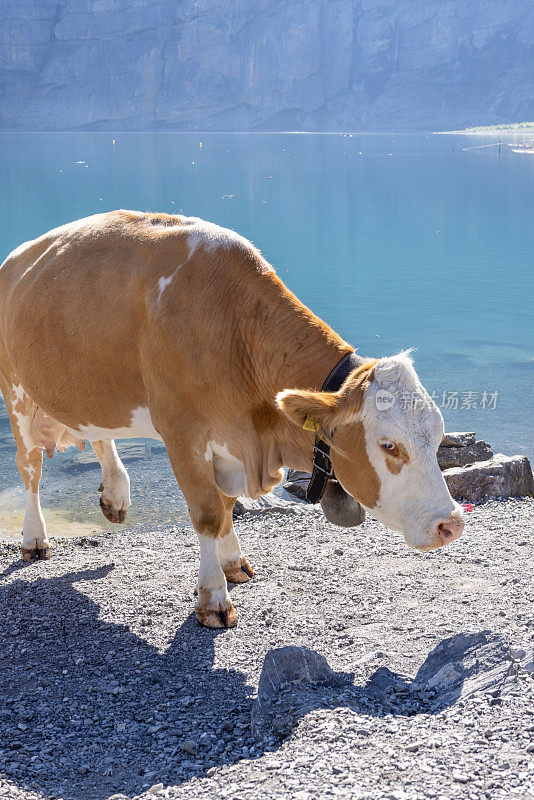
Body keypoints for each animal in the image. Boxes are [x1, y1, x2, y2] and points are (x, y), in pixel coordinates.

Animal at [0, 209, 466, 628]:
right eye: (389, 445)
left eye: (438, 438)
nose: (452, 524)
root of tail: (18, 257)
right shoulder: (181, 433)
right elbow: (207, 511)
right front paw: (213, 599)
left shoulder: (229, 442)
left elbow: (226, 504)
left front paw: (231, 563)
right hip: (16, 393)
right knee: (30, 468)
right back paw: (34, 538)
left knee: (98, 433)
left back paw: (115, 496)